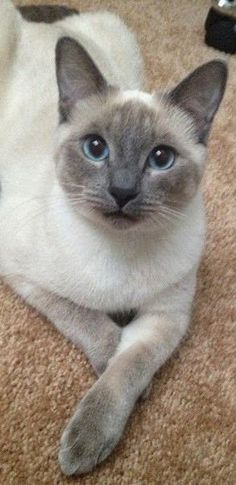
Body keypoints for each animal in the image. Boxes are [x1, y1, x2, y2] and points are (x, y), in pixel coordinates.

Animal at [0, 0, 228, 474]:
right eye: (95, 149)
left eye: (161, 158)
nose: (122, 192)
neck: (121, 250)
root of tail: (35, 25)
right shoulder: (24, 278)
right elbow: (98, 330)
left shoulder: (165, 316)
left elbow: (128, 369)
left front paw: (89, 440)